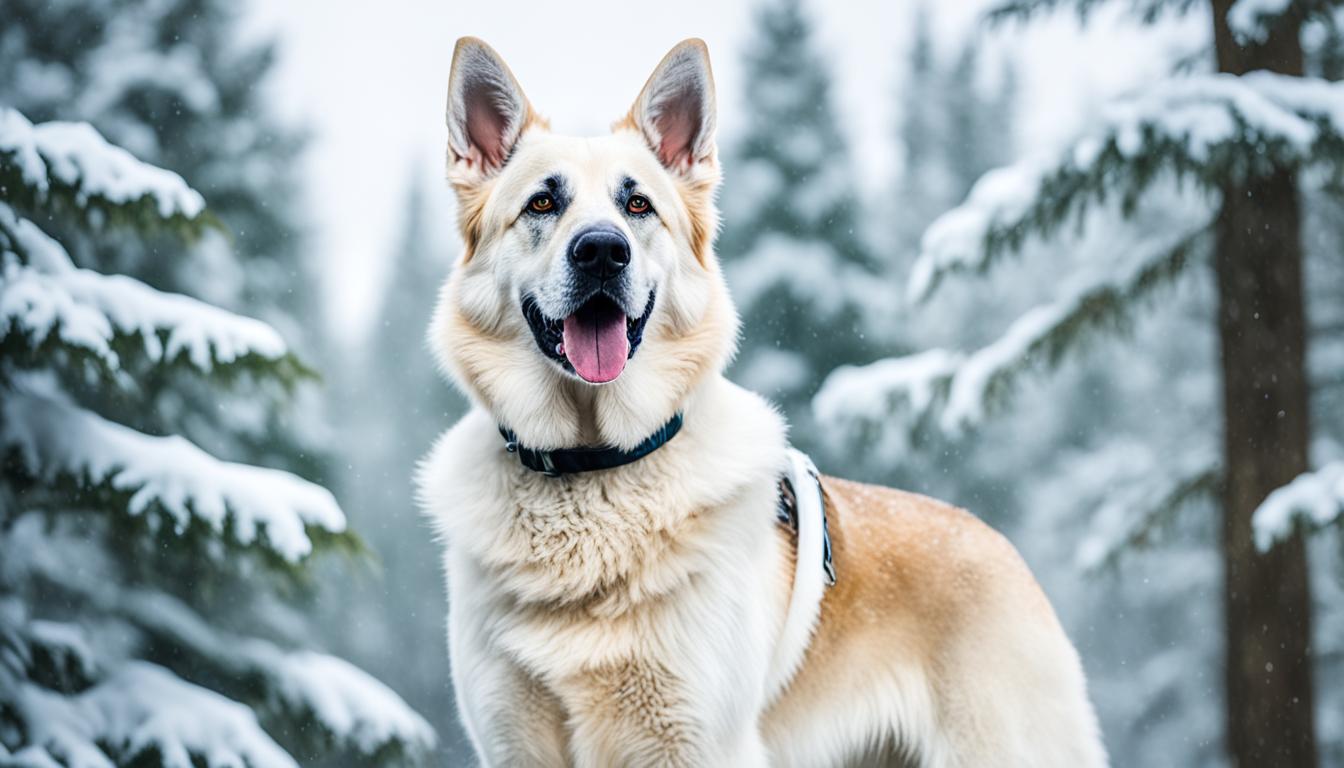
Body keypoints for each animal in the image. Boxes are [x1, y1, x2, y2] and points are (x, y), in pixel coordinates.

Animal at [416, 37, 1102, 768]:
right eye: (543, 204)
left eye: (638, 207)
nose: (602, 252)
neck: (592, 467)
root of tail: (1001, 548)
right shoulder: (514, 746)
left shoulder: (699, 744)